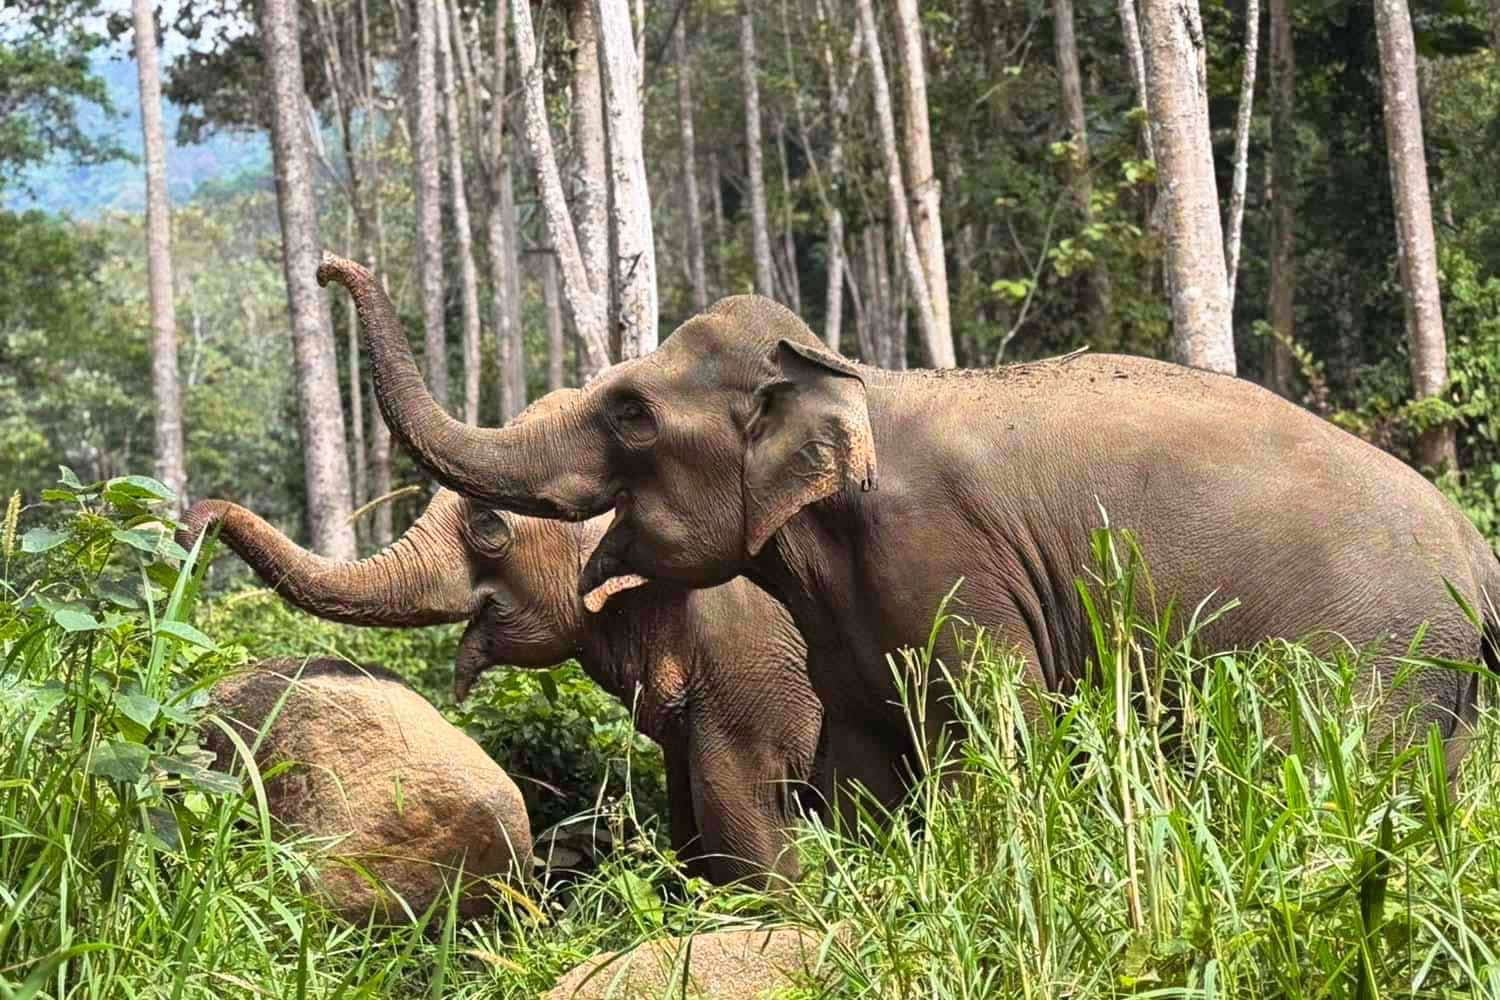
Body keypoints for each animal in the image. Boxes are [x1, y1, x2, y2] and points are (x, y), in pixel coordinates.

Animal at [319, 252, 1500, 819]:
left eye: (629, 414)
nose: (329, 267)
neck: (850, 375)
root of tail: (1480, 556)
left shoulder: (952, 569)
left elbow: (998, 737)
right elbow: (858, 766)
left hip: (1374, 661)